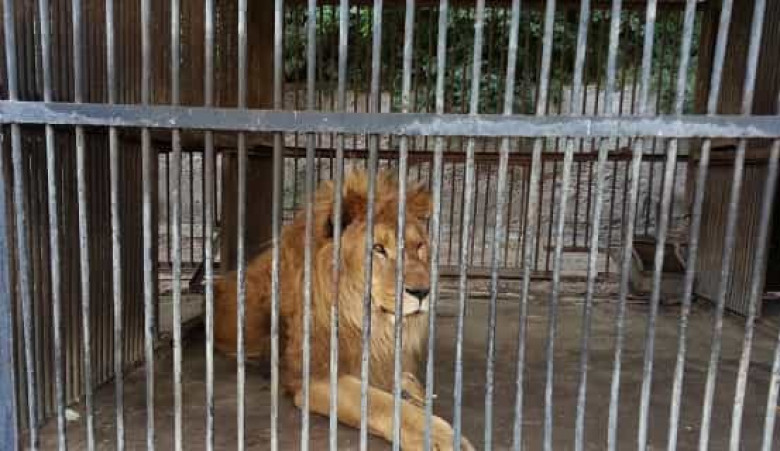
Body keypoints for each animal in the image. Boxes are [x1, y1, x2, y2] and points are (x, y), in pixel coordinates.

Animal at [214, 168, 474, 450]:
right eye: (378, 249)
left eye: (419, 247)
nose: (423, 292)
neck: (363, 317)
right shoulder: (316, 373)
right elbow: (380, 403)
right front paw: (439, 436)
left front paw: (415, 393)